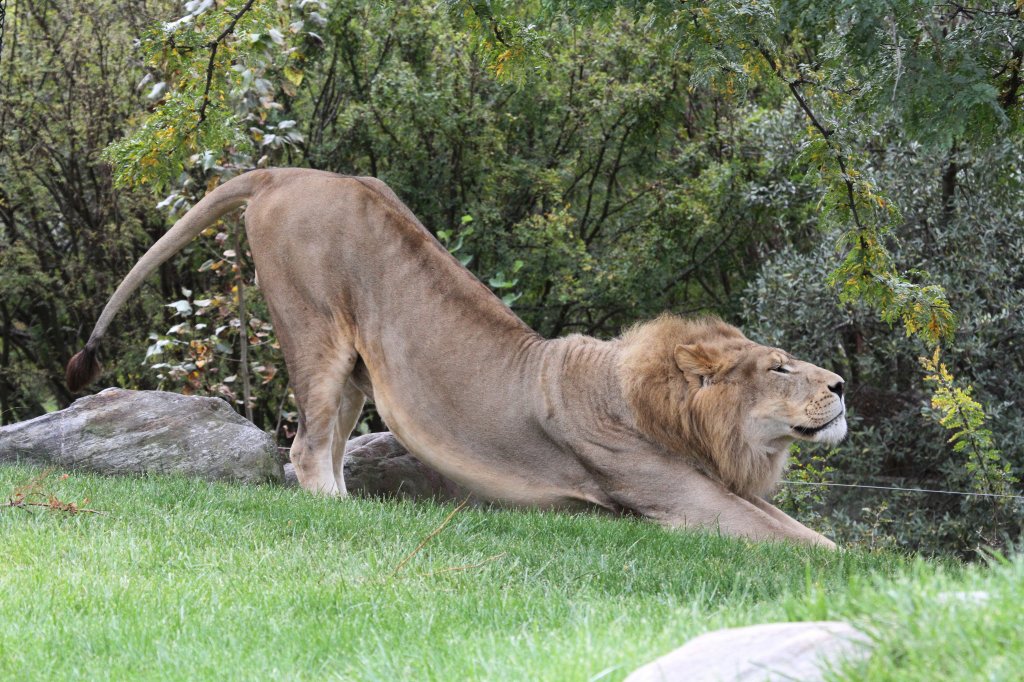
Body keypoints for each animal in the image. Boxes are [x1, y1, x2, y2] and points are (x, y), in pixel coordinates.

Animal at [66, 166, 847, 544]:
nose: (842, 384)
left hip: (355, 370)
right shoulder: (679, 502)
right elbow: (810, 546)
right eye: (779, 366)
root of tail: (281, 171)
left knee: (332, 444)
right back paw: (338, 514)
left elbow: (802, 529)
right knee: (305, 448)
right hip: (313, 330)